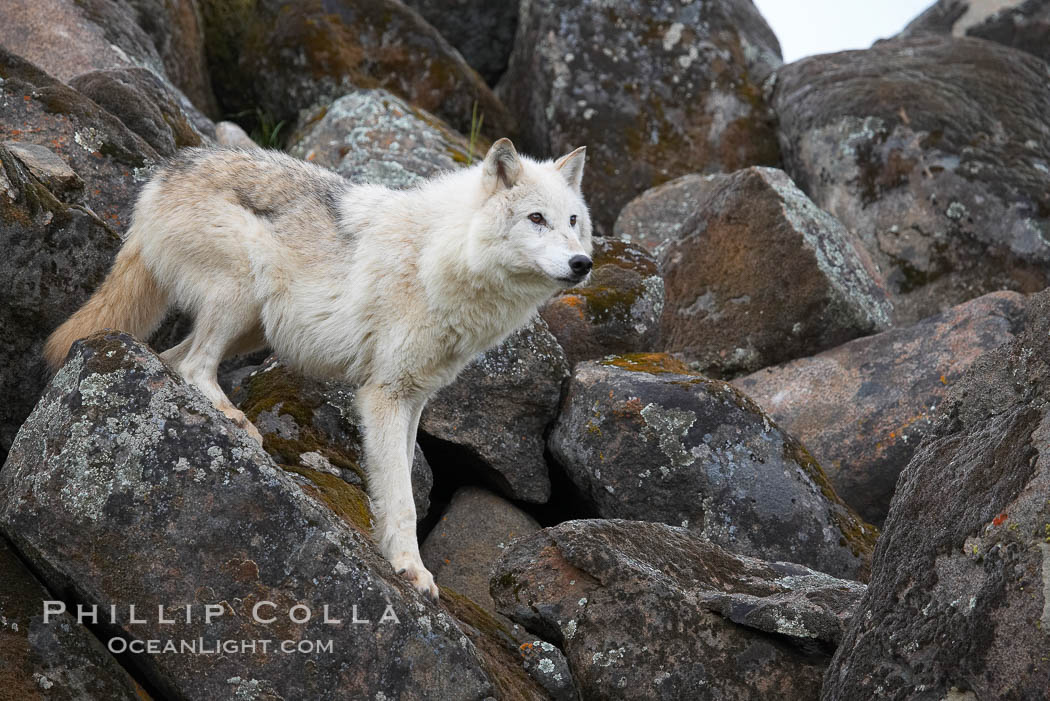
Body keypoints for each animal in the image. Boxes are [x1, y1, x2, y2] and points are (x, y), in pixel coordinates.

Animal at [44, 139, 593, 600]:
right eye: (536, 218)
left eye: (572, 220)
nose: (583, 263)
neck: (441, 256)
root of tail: (165, 172)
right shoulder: (383, 395)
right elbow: (404, 498)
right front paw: (411, 570)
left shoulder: (413, 398)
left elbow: (397, 487)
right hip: (240, 298)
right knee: (196, 366)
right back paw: (234, 419)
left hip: (253, 328)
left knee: (171, 360)